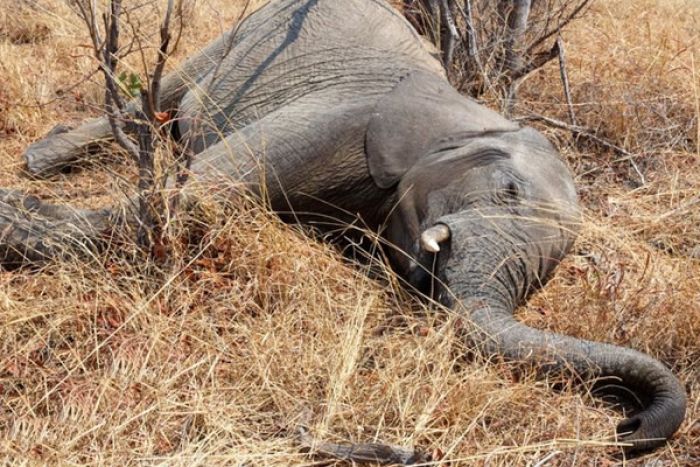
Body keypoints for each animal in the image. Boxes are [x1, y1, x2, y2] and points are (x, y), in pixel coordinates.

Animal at [0, 0, 688, 456]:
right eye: (509, 190)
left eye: (546, 274)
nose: (625, 427)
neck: (472, 115)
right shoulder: (348, 119)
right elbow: (198, 197)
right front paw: (12, 218)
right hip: (243, 34)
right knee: (162, 94)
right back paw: (41, 161)